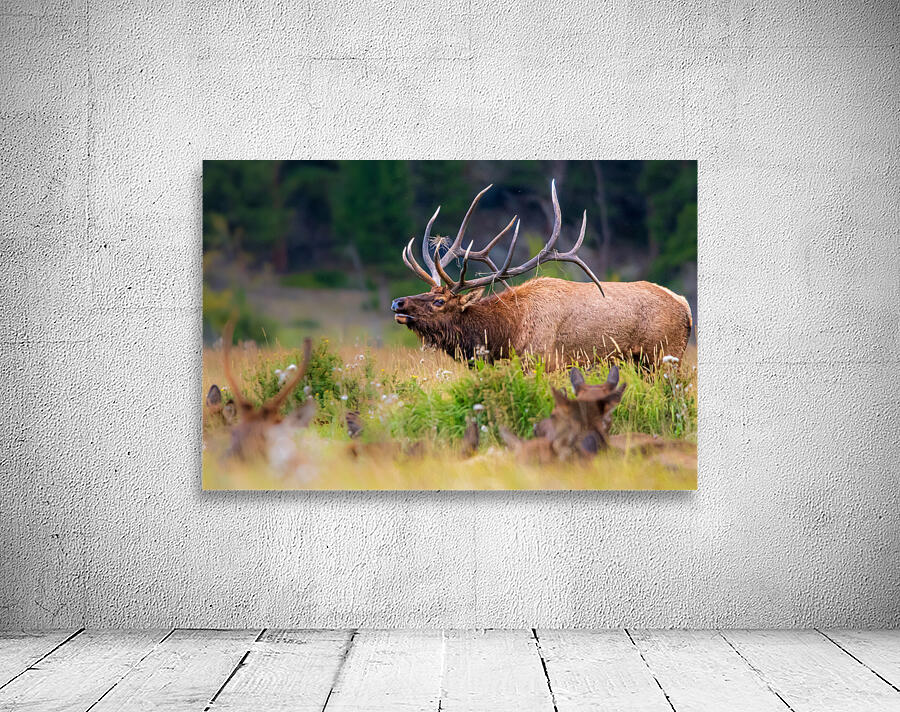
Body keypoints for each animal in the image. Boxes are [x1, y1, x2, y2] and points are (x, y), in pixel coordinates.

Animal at [391, 181, 692, 369]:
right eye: (429, 292)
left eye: (439, 301)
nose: (397, 302)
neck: (508, 332)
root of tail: (686, 307)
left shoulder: (544, 363)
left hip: (664, 356)